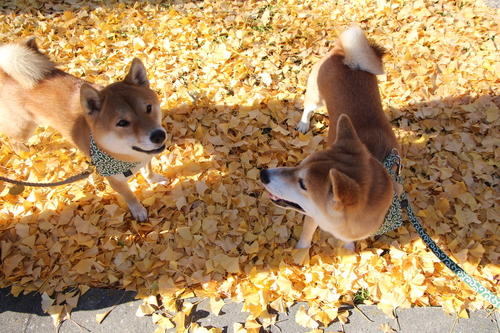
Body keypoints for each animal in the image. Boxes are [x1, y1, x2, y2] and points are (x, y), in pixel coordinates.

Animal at [0, 38, 168, 220]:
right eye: (122, 123)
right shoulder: (116, 181)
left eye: (149, 108)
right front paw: (138, 210)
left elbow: (148, 172)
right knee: (12, 138)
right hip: (23, 129)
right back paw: (22, 153)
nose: (158, 135)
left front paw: (155, 180)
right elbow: (130, 196)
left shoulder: (146, 157)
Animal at [260, 26, 400, 249]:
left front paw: (348, 249)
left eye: (303, 184)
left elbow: (350, 241)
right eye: (300, 164)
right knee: (307, 109)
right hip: (315, 97)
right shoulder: (312, 217)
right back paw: (304, 123)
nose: (263, 174)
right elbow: (306, 237)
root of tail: (343, 53)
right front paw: (299, 254)